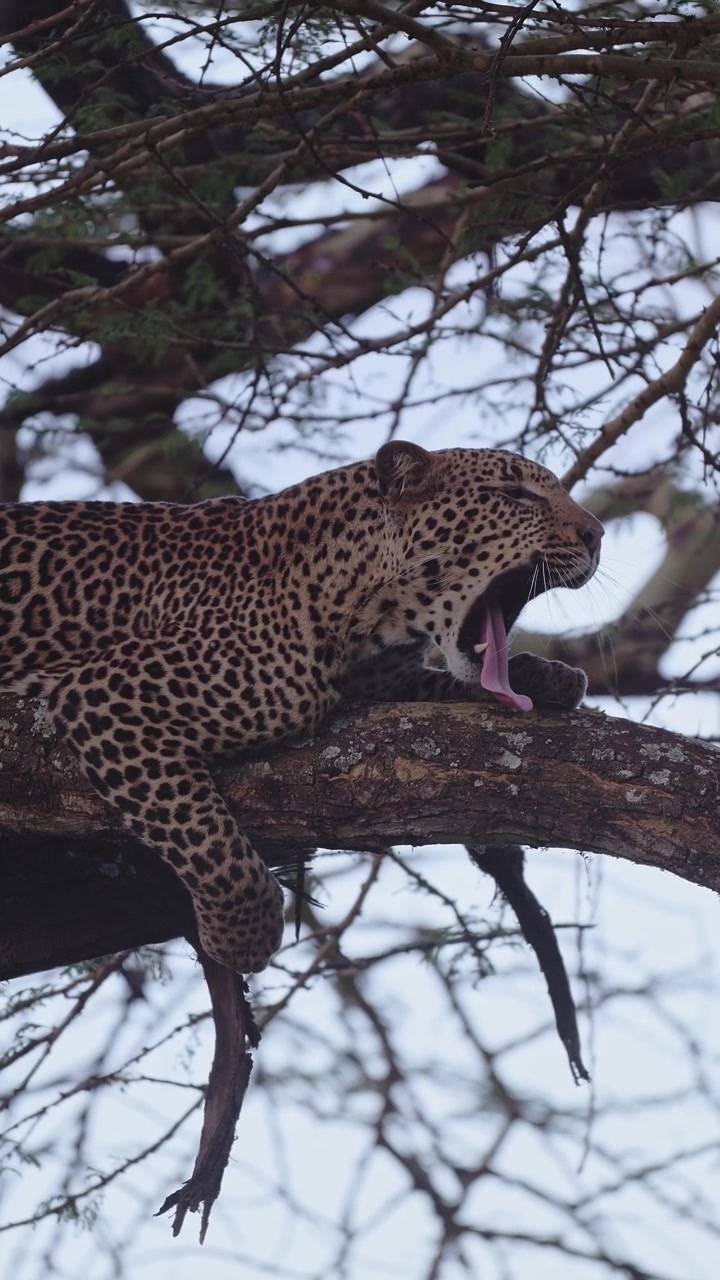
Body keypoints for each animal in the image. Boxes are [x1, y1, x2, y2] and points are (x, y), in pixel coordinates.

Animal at [0, 441, 603, 974]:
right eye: (515, 494)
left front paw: (548, 675)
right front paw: (243, 935)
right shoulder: (105, 692)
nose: (596, 535)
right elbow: (206, 835)